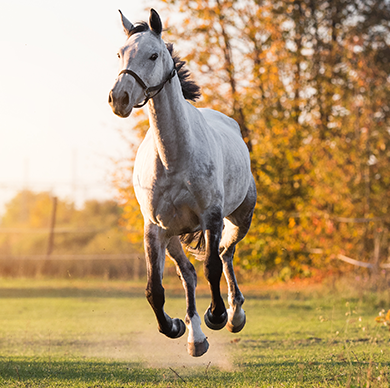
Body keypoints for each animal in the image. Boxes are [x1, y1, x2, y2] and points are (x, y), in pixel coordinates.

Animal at [109, 8, 256, 358]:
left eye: (153, 55)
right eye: (120, 54)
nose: (119, 98)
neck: (174, 157)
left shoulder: (211, 217)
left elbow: (212, 267)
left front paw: (217, 315)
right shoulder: (154, 228)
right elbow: (155, 289)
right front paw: (175, 326)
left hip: (240, 217)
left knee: (226, 254)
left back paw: (234, 314)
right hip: (173, 235)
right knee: (188, 274)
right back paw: (195, 337)